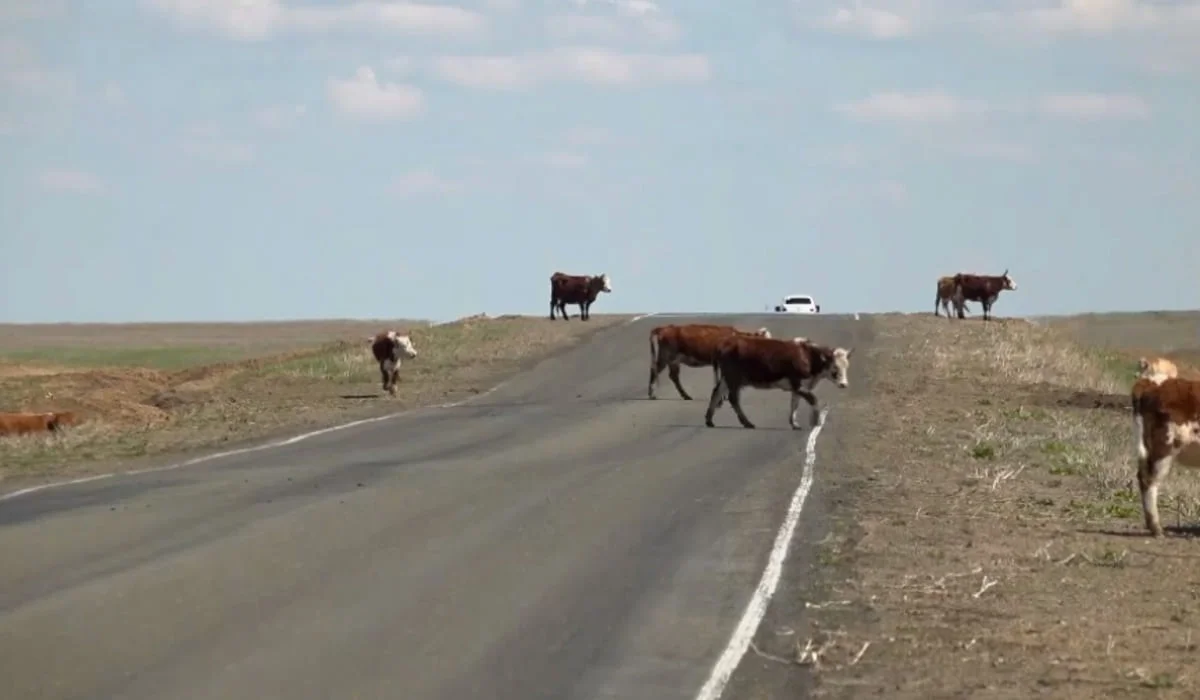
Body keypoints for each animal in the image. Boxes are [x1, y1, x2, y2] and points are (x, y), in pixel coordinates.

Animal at [643, 324, 772, 401]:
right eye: (765, 339)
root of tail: (666, 327)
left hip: (674, 360)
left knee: (673, 376)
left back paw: (686, 395)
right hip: (666, 356)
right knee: (654, 370)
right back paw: (652, 394)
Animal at [700, 333, 854, 427]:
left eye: (846, 366)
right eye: (834, 367)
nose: (844, 384)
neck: (807, 356)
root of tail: (723, 343)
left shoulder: (797, 387)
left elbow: (794, 404)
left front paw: (794, 423)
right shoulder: (798, 383)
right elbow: (813, 399)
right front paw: (816, 421)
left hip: (727, 378)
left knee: (716, 392)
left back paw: (709, 420)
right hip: (734, 378)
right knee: (733, 398)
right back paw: (747, 423)